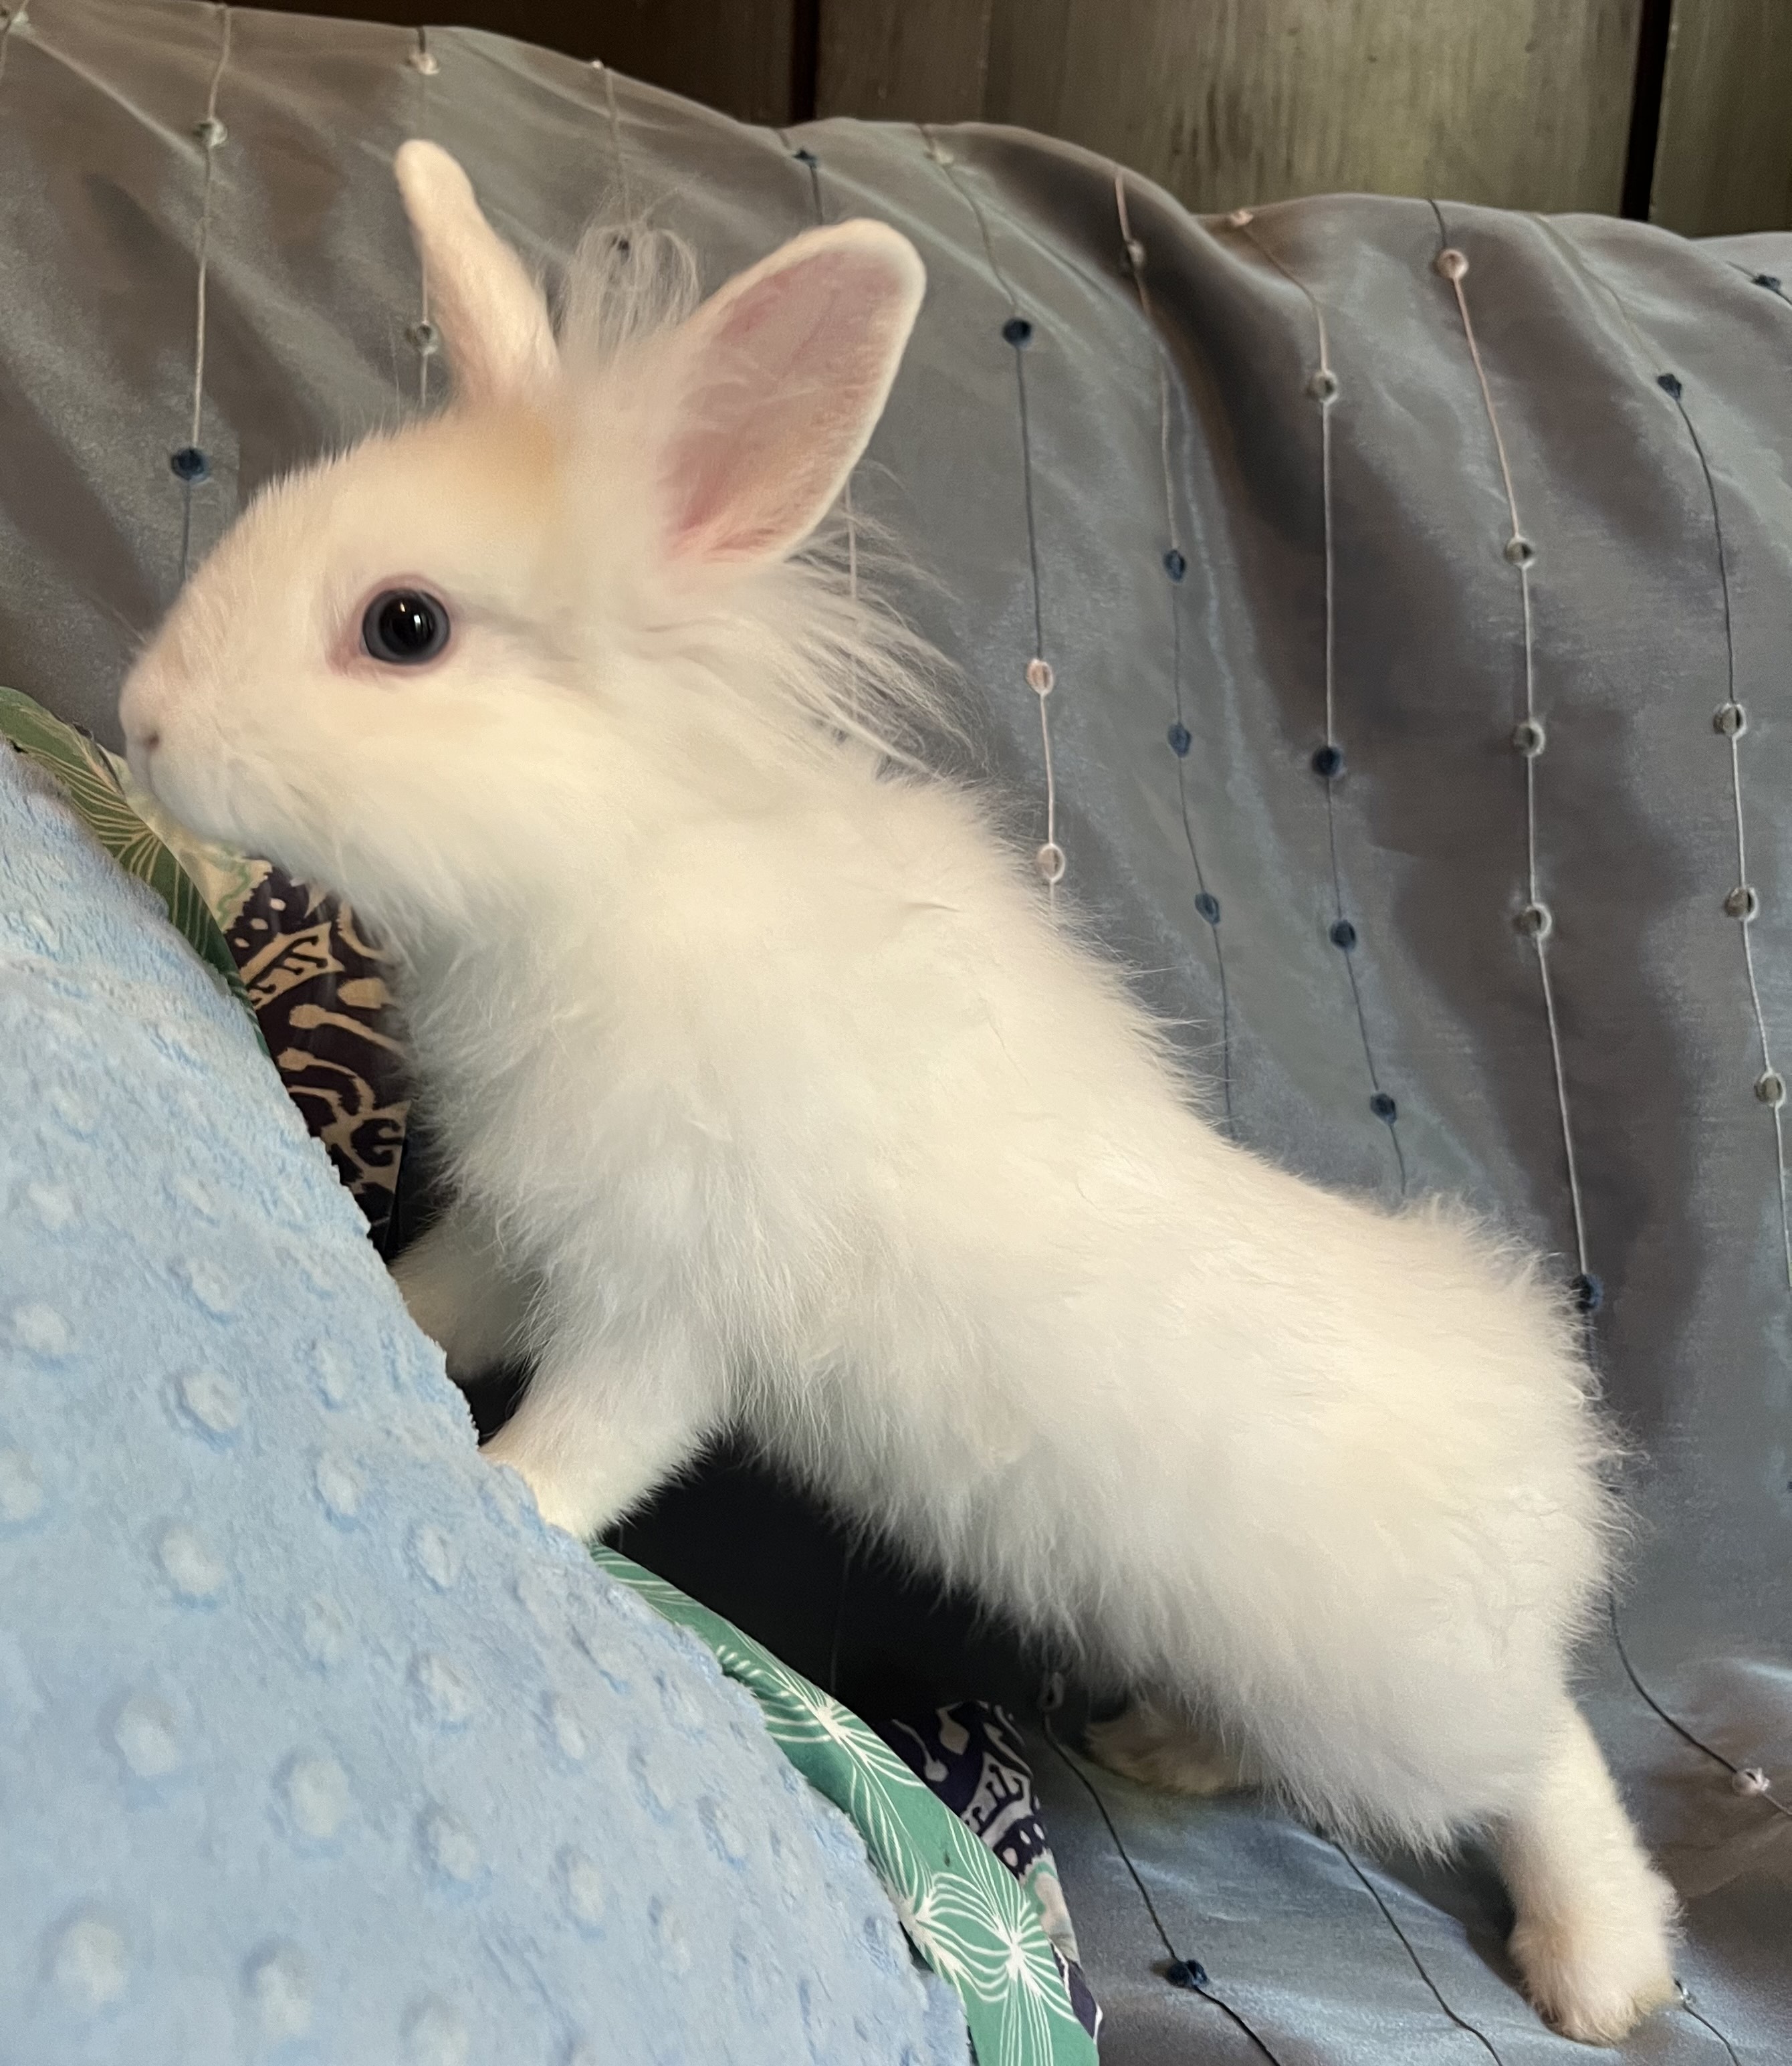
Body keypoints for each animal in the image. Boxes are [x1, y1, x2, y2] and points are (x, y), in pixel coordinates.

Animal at [119, 140, 1678, 2043]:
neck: (612, 868)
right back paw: (1162, 1744)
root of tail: (1542, 1467)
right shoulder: (524, 1227)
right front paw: (377, 1311)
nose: (139, 718)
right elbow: (439, 1295)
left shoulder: (668, 1310)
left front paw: (501, 1502)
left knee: (1546, 1757)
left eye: (402, 627)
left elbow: (593, 1446)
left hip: (1396, 1694)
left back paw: (1597, 1968)